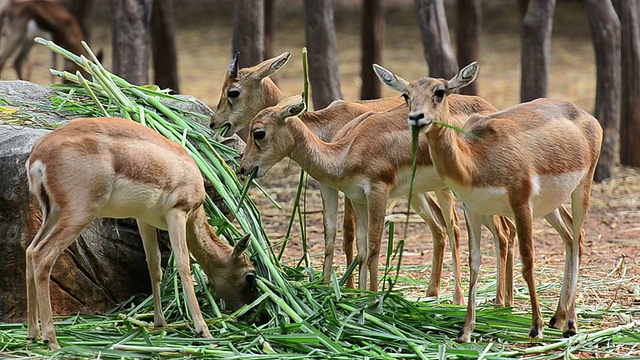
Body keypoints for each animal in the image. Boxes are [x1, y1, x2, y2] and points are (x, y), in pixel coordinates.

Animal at [26, 117, 258, 348]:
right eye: (250, 275)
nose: (249, 312)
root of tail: (40, 154)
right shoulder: (178, 213)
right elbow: (184, 266)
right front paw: (204, 331)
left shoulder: (144, 220)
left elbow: (154, 265)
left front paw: (160, 322)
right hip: (79, 215)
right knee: (42, 256)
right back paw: (51, 339)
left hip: (53, 214)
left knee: (29, 251)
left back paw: (33, 333)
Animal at [239, 93, 516, 304]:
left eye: (259, 132)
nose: (243, 168)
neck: (347, 151)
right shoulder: (358, 199)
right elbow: (361, 249)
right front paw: (360, 296)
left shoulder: (378, 192)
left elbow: (374, 247)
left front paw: (373, 299)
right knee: (493, 229)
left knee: (481, 231)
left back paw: (486, 302)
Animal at [372, 62, 604, 344]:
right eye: (406, 94)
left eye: (440, 92)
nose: (417, 117)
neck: (476, 160)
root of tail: (587, 117)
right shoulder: (472, 209)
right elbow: (474, 262)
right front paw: (465, 330)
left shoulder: (521, 203)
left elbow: (528, 260)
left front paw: (534, 327)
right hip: (551, 204)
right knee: (570, 237)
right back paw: (557, 318)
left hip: (582, 187)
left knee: (579, 238)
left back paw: (570, 323)